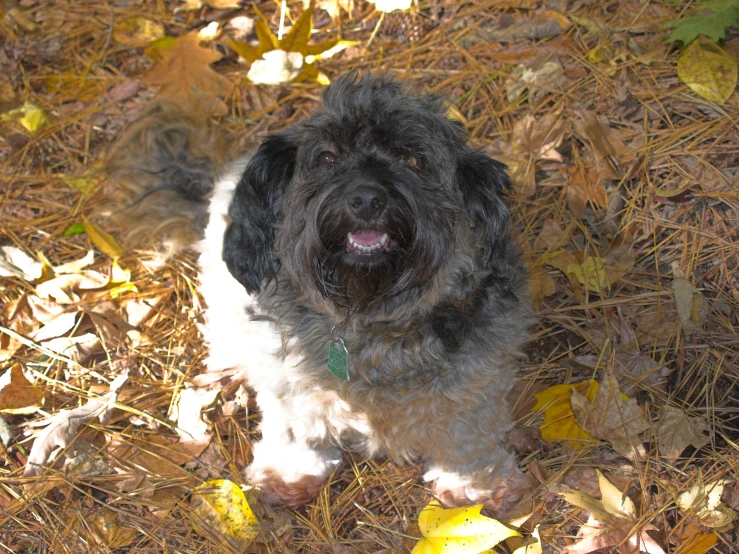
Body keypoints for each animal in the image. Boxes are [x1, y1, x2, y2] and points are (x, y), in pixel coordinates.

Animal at [108, 73, 532, 512]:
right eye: (326, 157)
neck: (368, 324)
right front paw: (290, 472)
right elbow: (297, 426)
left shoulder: (476, 380)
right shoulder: (288, 381)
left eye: (413, 159)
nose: (366, 199)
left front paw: (475, 484)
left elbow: (467, 431)